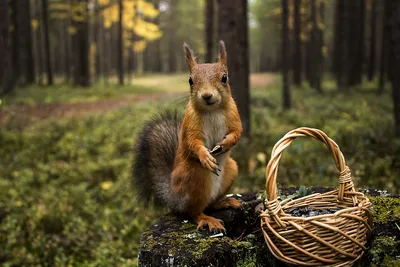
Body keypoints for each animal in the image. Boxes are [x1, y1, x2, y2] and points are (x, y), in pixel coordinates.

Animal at [133, 40, 242, 232]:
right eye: (190, 80)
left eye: (224, 78)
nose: (207, 95)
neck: (212, 110)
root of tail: (173, 198)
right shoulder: (190, 124)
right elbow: (192, 142)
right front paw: (205, 156)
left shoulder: (234, 115)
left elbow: (237, 132)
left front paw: (225, 144)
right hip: (195, 177)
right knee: (192, 212)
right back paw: (207, 219)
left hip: (231, 169)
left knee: (210, 204)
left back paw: (225, 202)